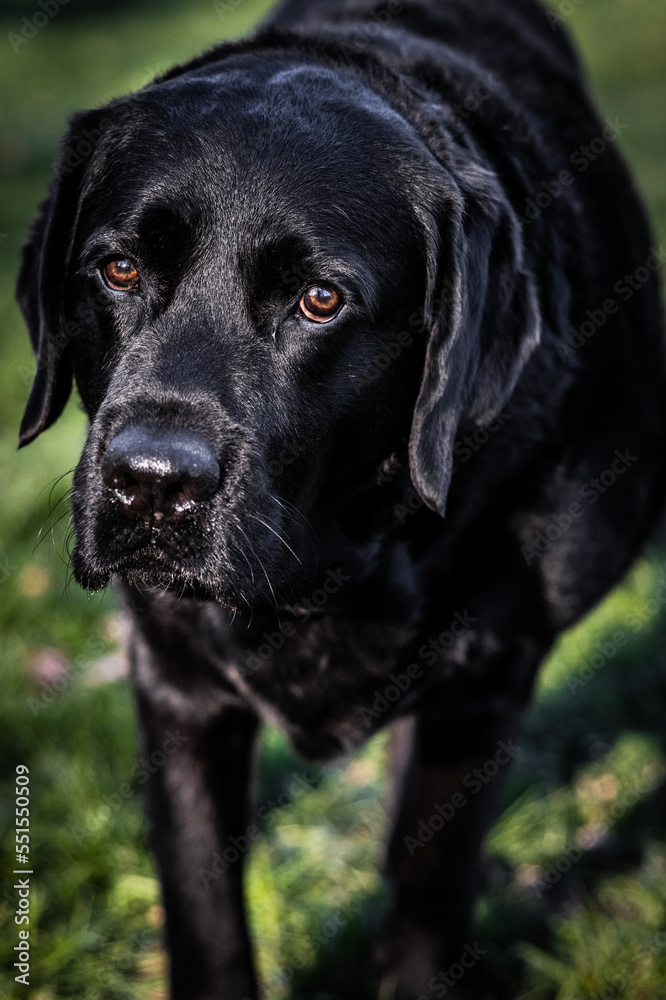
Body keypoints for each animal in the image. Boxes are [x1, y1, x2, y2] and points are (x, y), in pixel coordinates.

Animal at [15, 0, 664, 996]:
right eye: (118, 270)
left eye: (321, 300)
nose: (153, 483)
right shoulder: (175, 684)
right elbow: (204, 910)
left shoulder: (484, 682)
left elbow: (426, 904)